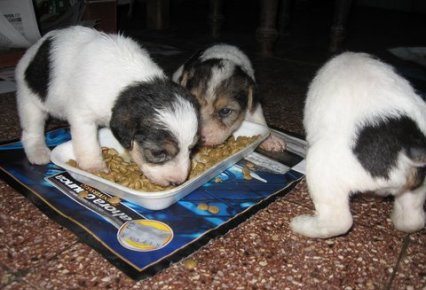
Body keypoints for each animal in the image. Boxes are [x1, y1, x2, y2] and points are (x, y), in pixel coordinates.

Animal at [14, 26, 198, 187]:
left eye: (192, 148)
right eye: (158, 153)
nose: (178, 182)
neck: (134, 83)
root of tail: (35, 47)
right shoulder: (83, 117)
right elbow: (88, 144)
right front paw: (95, 167)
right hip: (29, 100)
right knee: (31, 131)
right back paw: (38, 152)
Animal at [290, 51, 426, 238]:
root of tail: (405, 145)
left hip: (322, 171)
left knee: (339, 222)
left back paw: (303, 225)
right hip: (418, 183)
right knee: (413, 219)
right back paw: (398, 218)